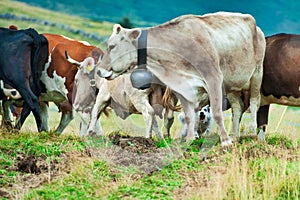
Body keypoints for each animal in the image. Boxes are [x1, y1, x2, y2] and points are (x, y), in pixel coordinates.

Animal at [95, 12, 264, 145]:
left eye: (112, 46)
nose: (99, 71)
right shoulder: (182, 87)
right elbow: (189, 116)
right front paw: (189, 141)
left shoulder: (213, 77)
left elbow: (216, 112)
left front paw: (225, 142)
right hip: (232, 85)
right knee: (237, 107)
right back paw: (234, 135)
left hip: (257, 73)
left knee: (254, 102)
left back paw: (251, 132)